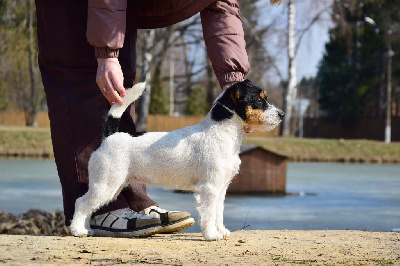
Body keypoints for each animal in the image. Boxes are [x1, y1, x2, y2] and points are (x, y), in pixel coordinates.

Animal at [71, 79, 284, 241]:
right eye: (259, 100)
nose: (281, 114)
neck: (221, 131)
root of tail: (110, 137)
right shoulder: (209, 189)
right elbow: (209, 214)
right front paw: (211, 235)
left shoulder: (221, 189)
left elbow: (218, 213)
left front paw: (221, 230)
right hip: (105, 185)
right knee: (81, 202)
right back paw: (77, 230)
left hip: (113, 186)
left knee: (88, 206)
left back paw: (86, 229)